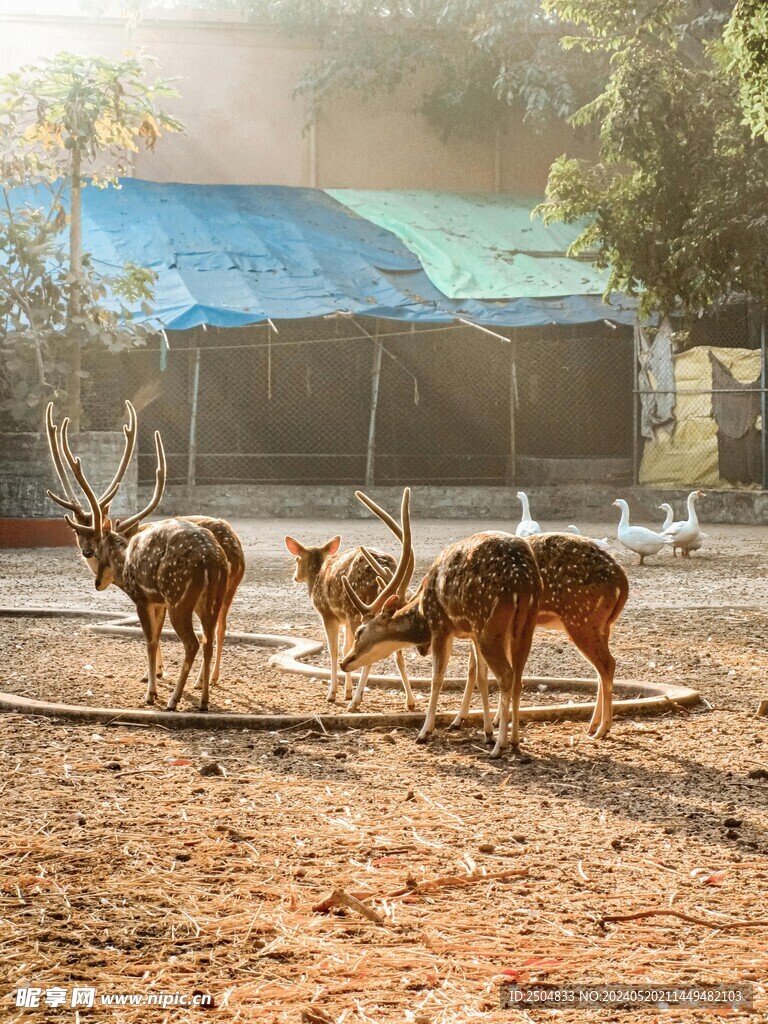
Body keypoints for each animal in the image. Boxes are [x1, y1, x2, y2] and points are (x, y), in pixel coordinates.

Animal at [45, 401, 245, 690]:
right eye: (78, 533)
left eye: (94, 535)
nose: (87, 551)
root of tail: (235, 548)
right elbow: (158, 632)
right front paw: (157, 672)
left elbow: (153, 634)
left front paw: (151, 675)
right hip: (228, 588)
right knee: (220, 626)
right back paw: (210, 678)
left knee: (205, 633)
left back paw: (198, 681)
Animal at [284, 532, 416, 711]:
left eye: (297, 558)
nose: (295, 577)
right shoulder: (345, 620)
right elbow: (346, 648)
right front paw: (347, 692)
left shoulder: (328, 615)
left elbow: (334, 651)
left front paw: (333, 694)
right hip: (385, 612)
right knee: (397, 653)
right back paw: (410, 701)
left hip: (356, 610)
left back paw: (355, 702)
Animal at [340, 489, 542, 758]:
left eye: (361, 631)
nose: (344, 662)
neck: (423, 612)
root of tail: (522, 580)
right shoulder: (470, 633)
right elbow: (478, 676)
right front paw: (484, 731)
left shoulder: (442, 626)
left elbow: (438, 676)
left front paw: (425, 732)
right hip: (524, 626)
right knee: (518, 677)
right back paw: (516, 741)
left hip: (489, 626)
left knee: (507, 676)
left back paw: (500, 747)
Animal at [453, 532, 629, 742]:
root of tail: (623, 583)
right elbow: (475, 669)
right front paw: (465, 719)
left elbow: (480, 670)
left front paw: (466, 720)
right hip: (602, 626)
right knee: (603, 667)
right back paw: (593, 725)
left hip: (582, 622)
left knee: (607, 664)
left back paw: (602, 729)